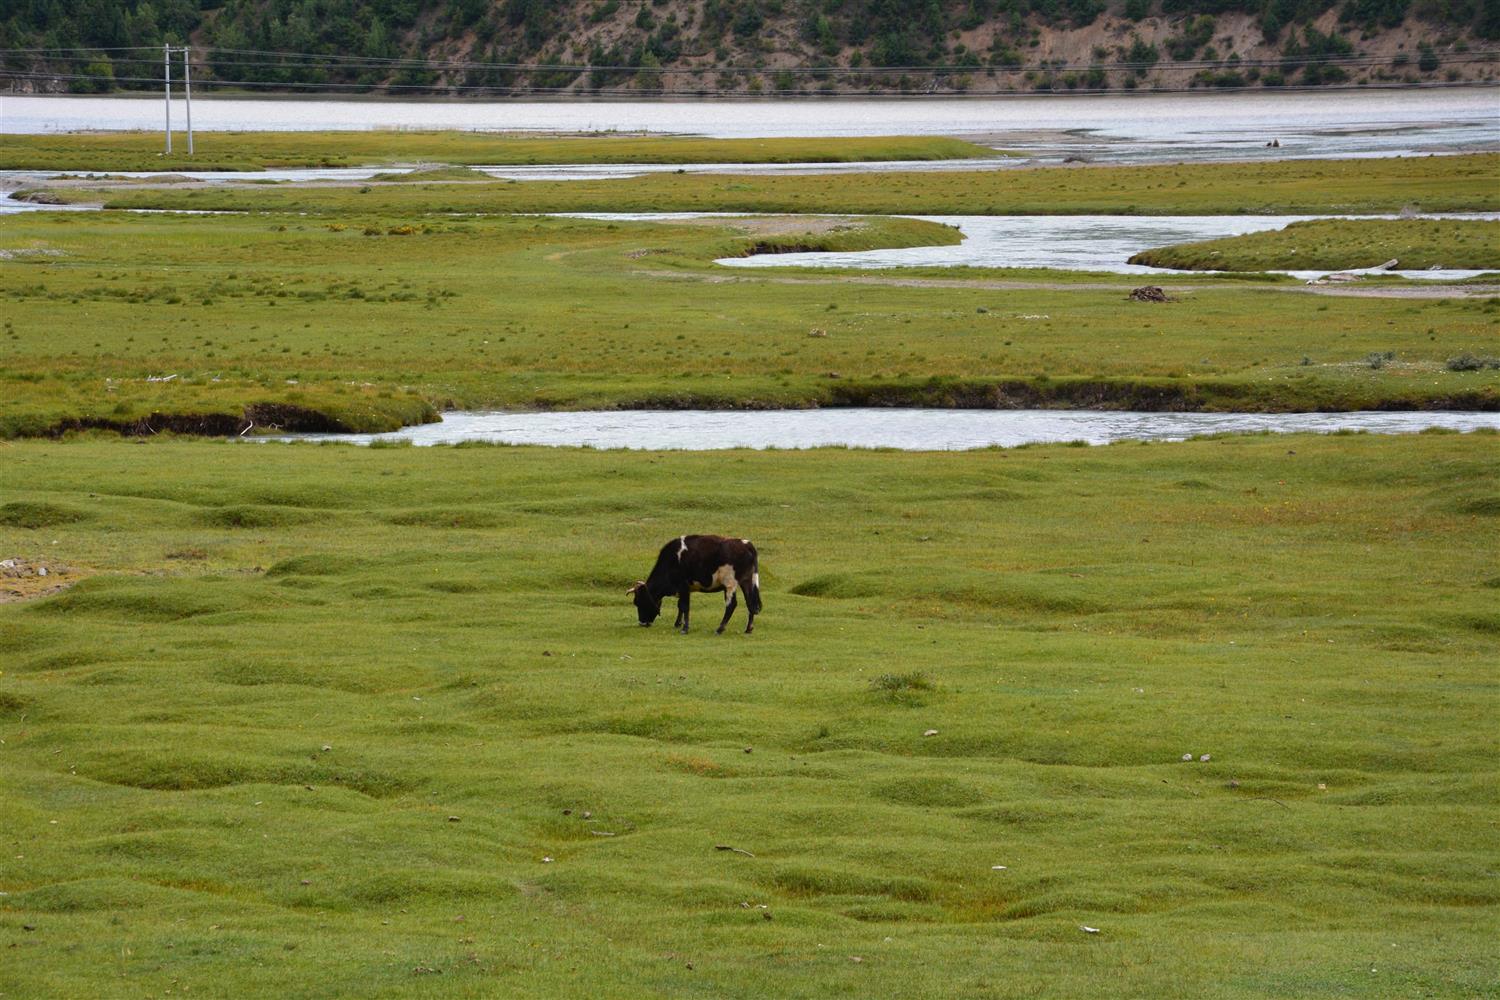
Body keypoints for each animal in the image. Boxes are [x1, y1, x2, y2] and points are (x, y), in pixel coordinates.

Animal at [627, 536, 762, 638]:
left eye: (639, 602)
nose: (642, 623)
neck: (672, 560)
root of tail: (745, 544)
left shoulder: (683, 585)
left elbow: (684, 606)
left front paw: (684, 629)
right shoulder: (684, 589)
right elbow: (680, 606)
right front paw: (678, 623)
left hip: (730, 583)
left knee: (731, 605)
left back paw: (719, 629)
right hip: (747, 582)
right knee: (750, 603)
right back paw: (748, 629)